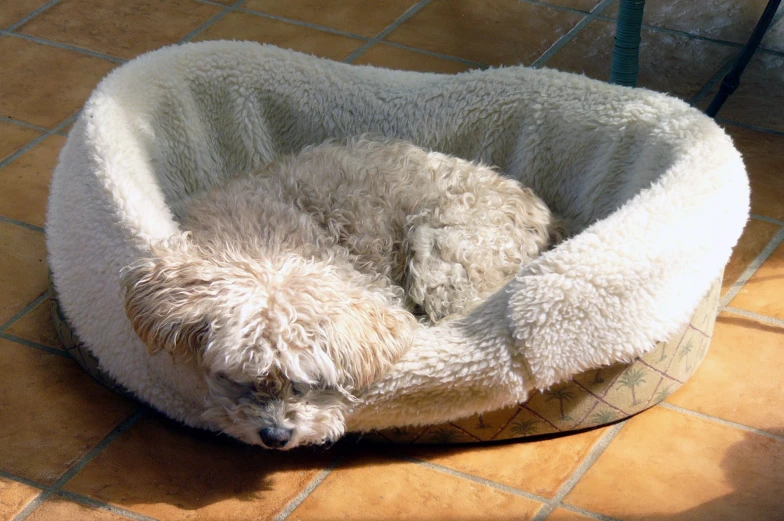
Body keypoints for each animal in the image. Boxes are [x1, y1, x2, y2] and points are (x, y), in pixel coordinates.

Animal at [121, 135, 564, 446]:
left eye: (309, 382)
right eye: (239, 378)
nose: (276, 436)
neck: (264, 245)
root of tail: (540, 212)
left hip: (443, 253)